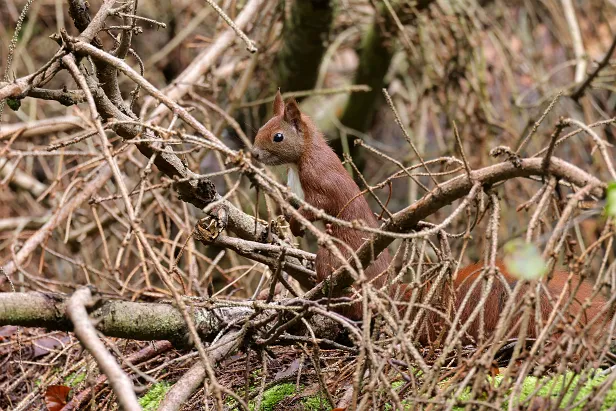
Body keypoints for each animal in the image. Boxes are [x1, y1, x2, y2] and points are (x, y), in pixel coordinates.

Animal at [253, 91, 608, 342]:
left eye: (278, 137)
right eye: (260, 129)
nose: (254, 154)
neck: (300, 160)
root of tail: (389, 294)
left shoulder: (322, 183)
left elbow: (321, 206)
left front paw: (291, 216)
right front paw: (284, 223)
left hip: (335, 256)